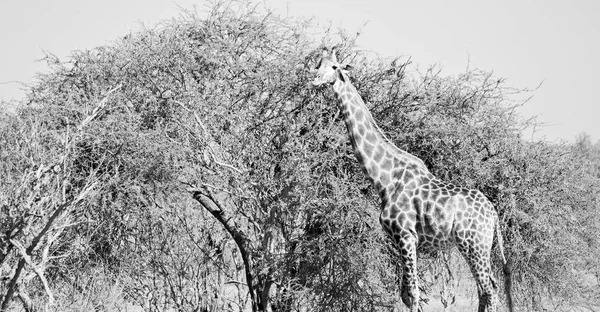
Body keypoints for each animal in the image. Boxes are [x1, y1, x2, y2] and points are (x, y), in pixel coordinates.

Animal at [312, 47, 512, 312]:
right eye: (318, 64)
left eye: (334, 67)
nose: (315, 79)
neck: (384, 179)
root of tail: (494, 215)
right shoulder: (398, 238)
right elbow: (405, 295)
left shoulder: (406, 234)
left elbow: (414, 293)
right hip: (479, 246)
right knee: (488, 289)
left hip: (472, 244)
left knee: (488, 290)